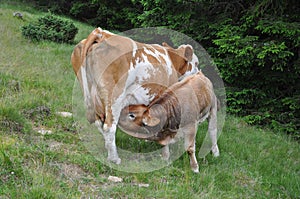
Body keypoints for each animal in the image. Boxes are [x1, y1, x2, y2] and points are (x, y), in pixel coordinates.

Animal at [71, 28, 199, 165]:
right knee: (109, 126)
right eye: (196, 63)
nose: (198, 73)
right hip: (114, 97)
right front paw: (165, 156)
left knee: (98, 122)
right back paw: (114, 158)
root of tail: (101, 33)